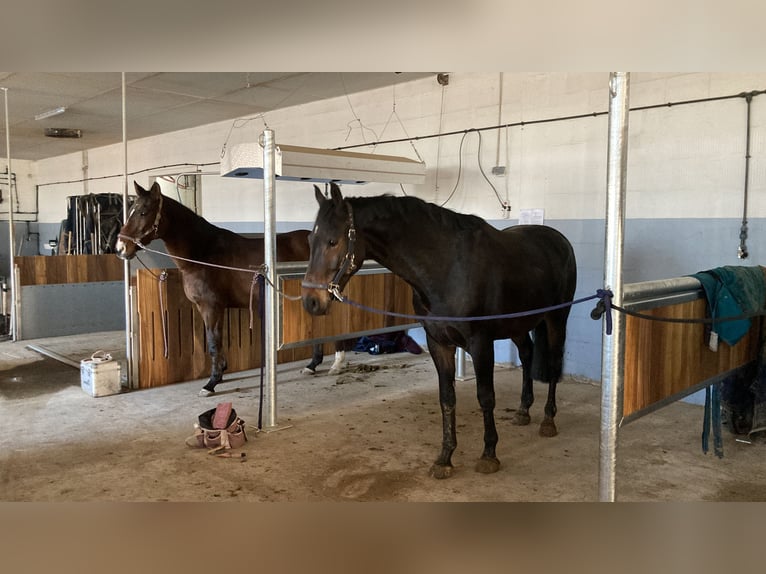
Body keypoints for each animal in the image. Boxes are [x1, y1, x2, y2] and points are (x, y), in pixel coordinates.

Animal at [117, 182, 354, 398]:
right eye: (130, 210)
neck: (203, 252)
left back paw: (336, 364)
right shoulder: (212, 308)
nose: (121, 248)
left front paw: (211, 383)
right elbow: (215, 340)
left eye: (143, 212)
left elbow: (213, 342)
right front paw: (221, 371)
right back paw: (312, 365)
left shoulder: (211, 307)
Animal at [304, 184, 580, 482]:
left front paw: (489, 454)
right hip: (517, 325)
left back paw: (548, 420)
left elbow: (486, 397)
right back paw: (523, 411)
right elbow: (447, 398)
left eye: (333, 241)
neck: (446, 268)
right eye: (310, 240)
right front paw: (445, 458)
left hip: (556, 319)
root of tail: (559, 240)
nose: (311, 301)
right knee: (528, 355)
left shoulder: (480, 343)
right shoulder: (438, 342)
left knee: (553, 363)